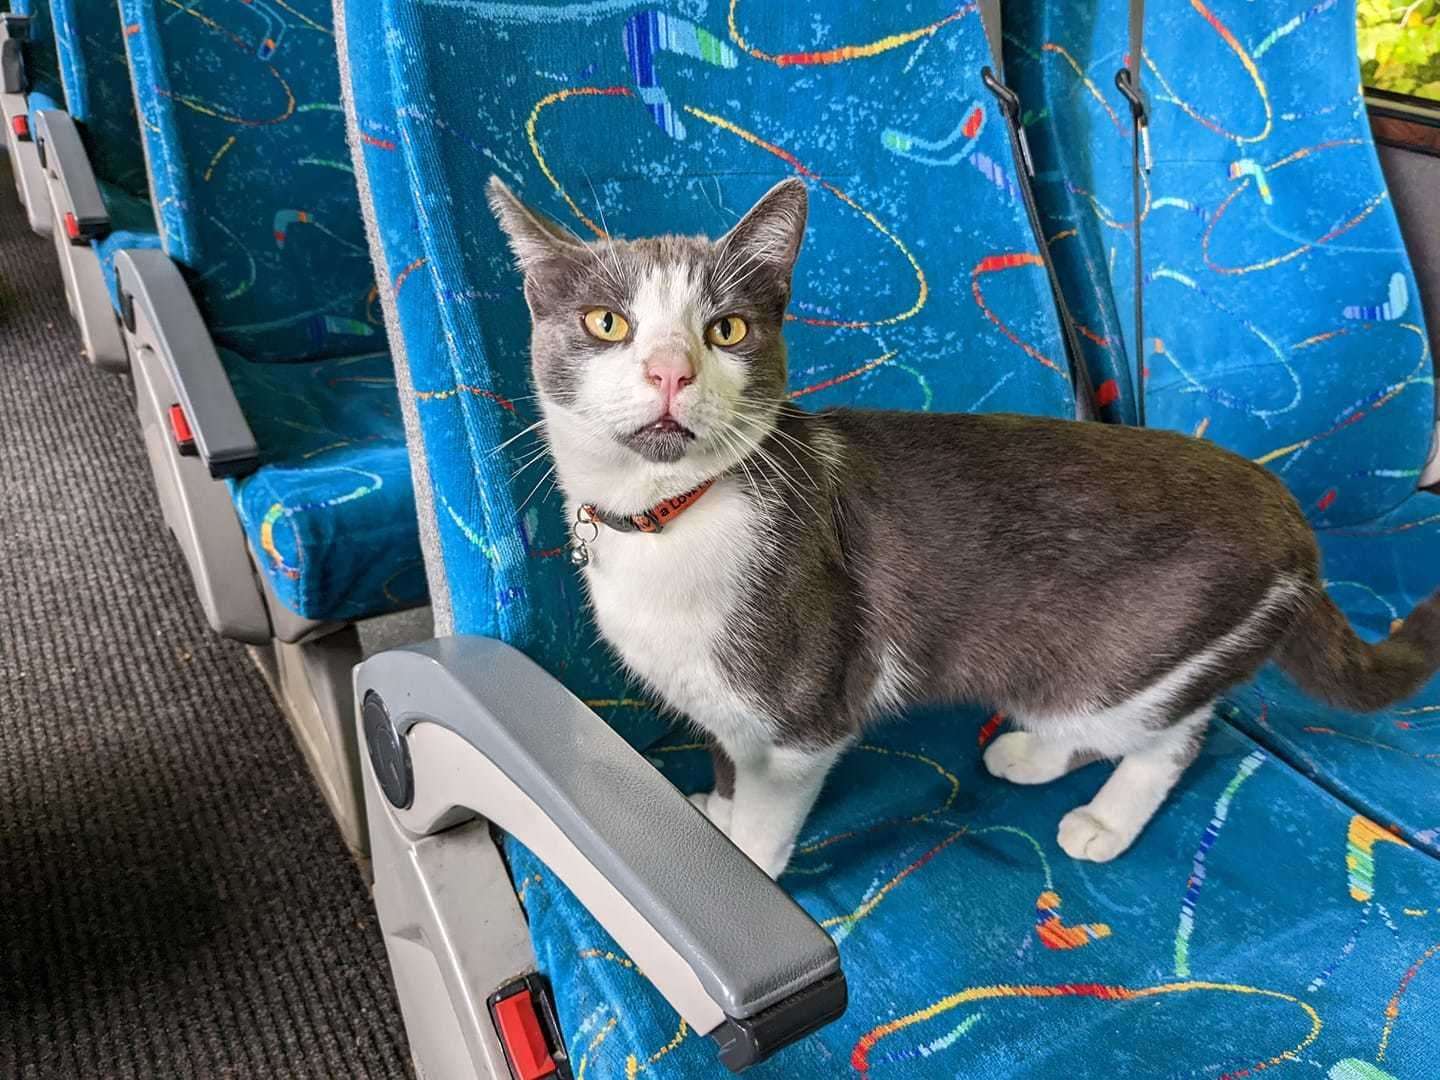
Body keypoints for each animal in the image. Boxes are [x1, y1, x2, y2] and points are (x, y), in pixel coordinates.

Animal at [486, 175, 1440, 881]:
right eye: (607, 322)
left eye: (726, 329)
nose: (670, 370)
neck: (669, 518)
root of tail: (1288, 513)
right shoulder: (723, 710)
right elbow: (725, 770)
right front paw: (712, 820)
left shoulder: (805, 714)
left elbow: (765, 819)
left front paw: (746, 872)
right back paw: (1037, 753)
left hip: (1135, 653)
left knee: (1174, 735)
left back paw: (1102, 816)